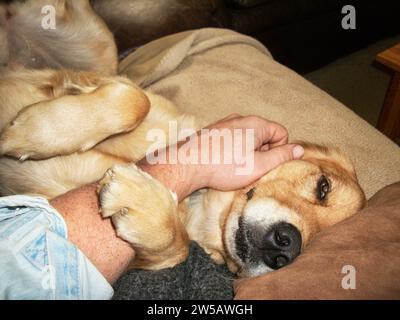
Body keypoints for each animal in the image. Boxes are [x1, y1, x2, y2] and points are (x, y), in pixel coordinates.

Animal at [0, 0, 366, 276]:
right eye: (323, 187)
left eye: (318, 240)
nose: (288, 248)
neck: (197, 204)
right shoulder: (123, 90)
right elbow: (135, 100)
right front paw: (33, 130)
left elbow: (177, 250)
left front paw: (143, 203)